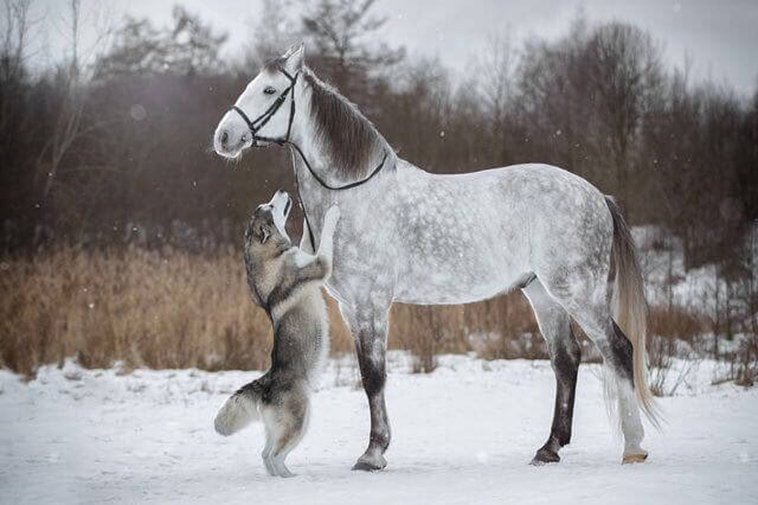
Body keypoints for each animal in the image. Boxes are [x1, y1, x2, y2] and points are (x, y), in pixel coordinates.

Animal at [215, 190, 342, 476]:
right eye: (270, 206)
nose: (283, 192)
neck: (272, 256)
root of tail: (267, 383)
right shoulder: (320, 265)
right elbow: (325, 242)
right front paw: (331, 213)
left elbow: (306, 241)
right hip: (299, 421)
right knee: (273, 455)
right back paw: (289, 478)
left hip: (281, 427)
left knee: (265, 454)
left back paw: (282, 477)